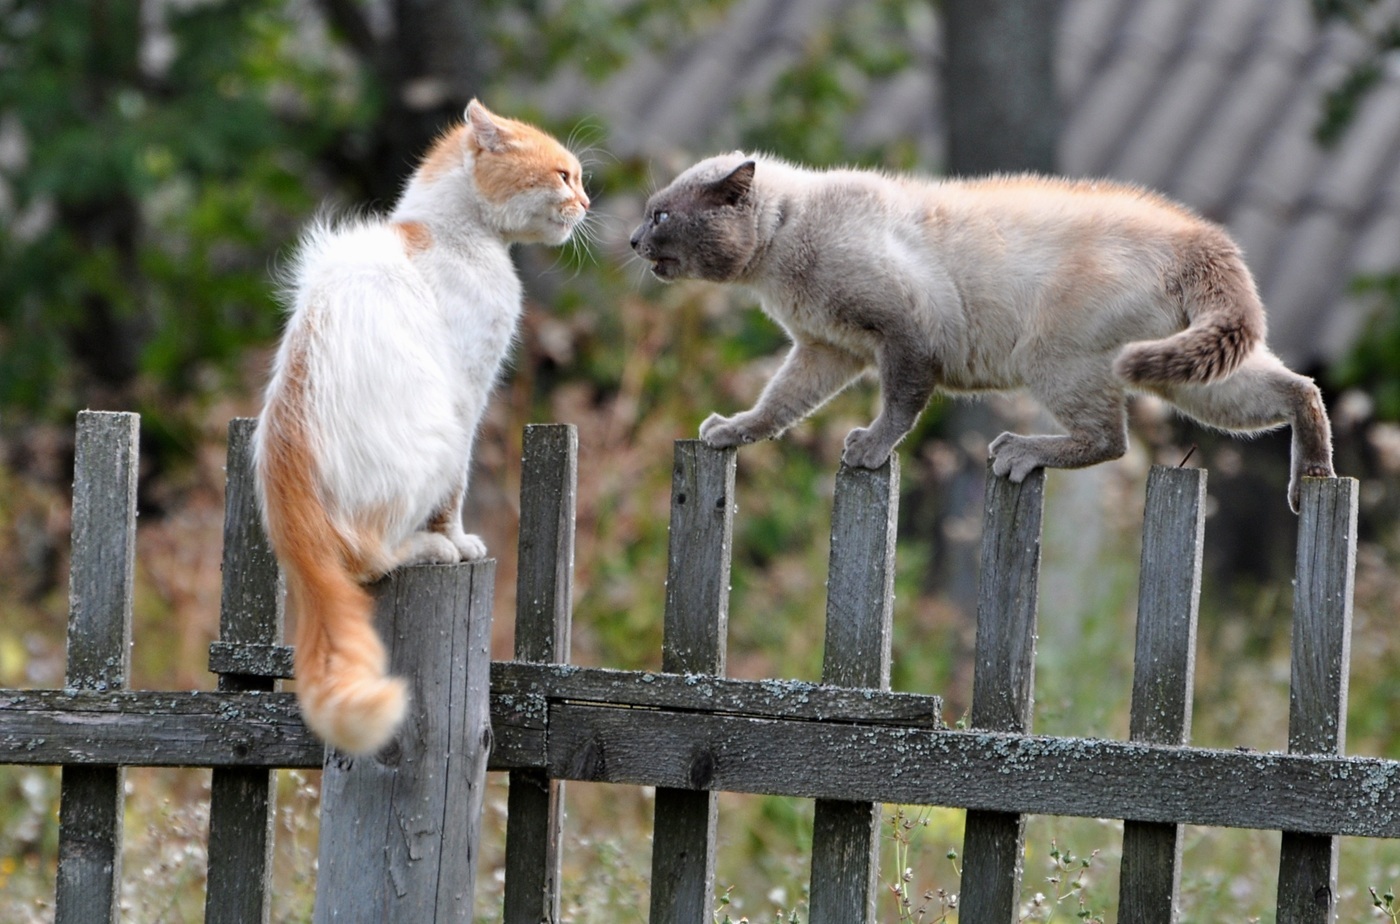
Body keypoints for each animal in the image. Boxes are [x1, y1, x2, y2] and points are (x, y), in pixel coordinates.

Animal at [254, 97, 588, 756]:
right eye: (565, 176)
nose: (587, 203)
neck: (449, 233)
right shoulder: (468, 399)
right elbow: (455, 497)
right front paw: (457, 541)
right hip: (434, 439)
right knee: (369, 558)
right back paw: (429, 548)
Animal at [632, 153, 1332, 512]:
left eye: (660, 215)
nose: (635, 240)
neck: (779, 251)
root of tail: (1199, 235)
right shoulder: (825, 351)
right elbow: (774, 408)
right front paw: (728, 432)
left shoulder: (902, 336)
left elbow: (899, 408)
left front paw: (867, 449)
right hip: (1193, 378)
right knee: (1300, 388)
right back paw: (1313, 478)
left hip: (1060, 359)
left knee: (1112, 441)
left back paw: (1018, 452)